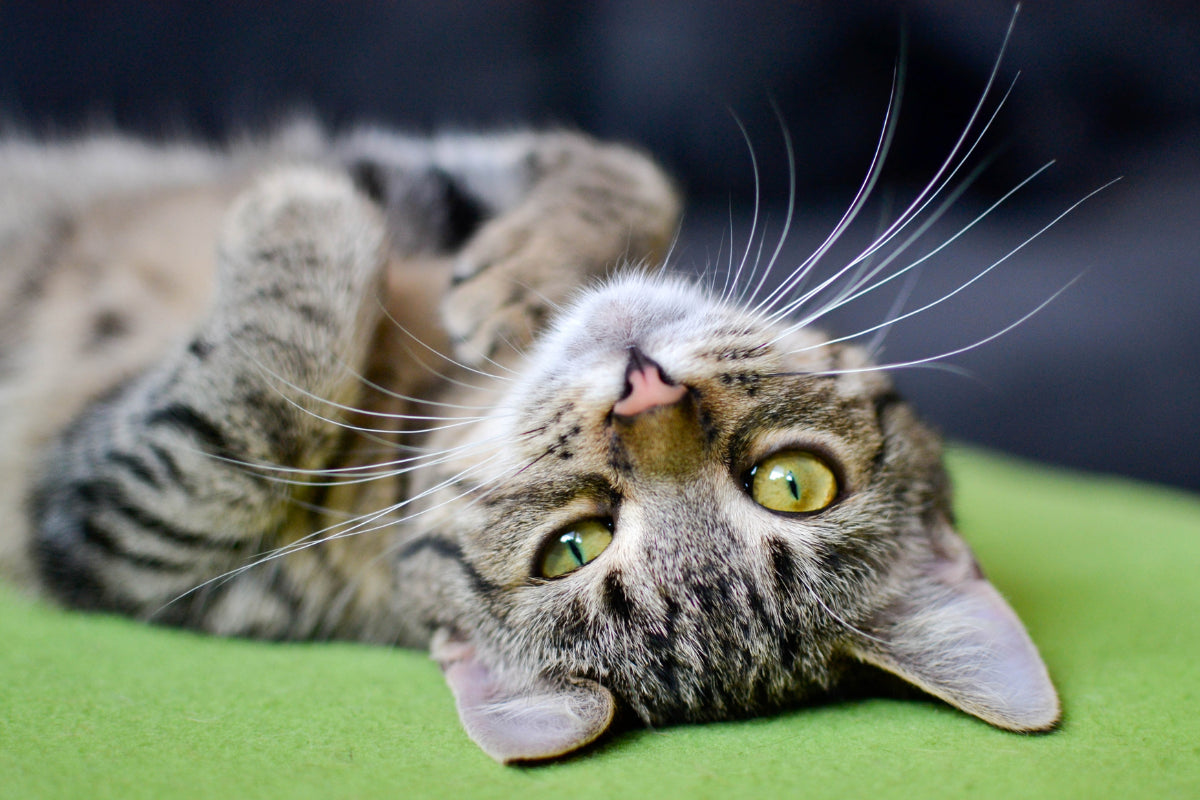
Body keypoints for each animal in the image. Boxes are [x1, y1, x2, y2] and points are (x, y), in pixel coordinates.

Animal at [0, 74, 1060, 762]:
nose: (644, 389)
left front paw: (302, 205)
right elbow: (630, 169)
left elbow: (247, 411)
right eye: (795, 482)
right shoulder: (448, 176)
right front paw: (526, 271)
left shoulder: (121, 521)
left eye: (568, 548)